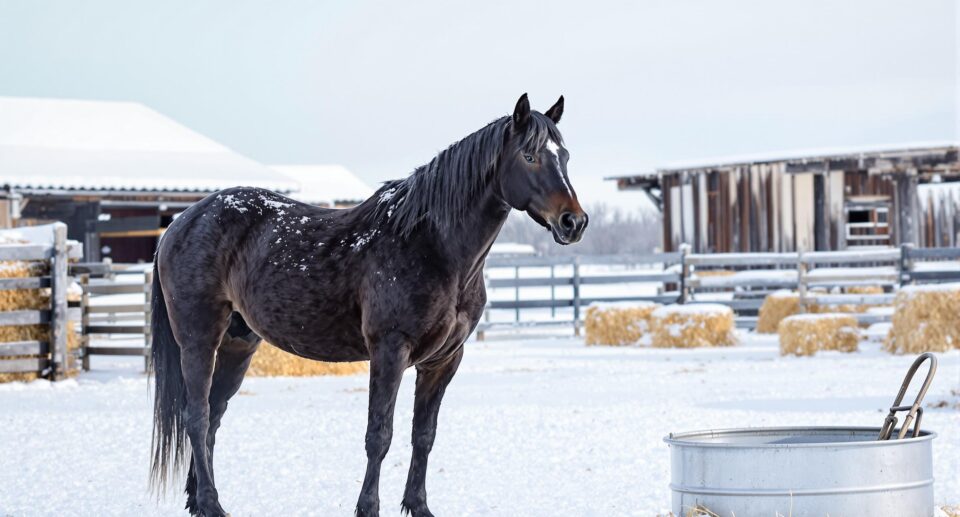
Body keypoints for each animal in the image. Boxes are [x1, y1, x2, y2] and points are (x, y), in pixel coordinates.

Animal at [151, 93, 588, 516]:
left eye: (565, 156)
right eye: (529, 155)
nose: (574, 222)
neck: (433, 245)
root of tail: (181, 222)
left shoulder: (444, 360)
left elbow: (423, 435)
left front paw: (419, 506)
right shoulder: (389, 350)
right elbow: (380, 435)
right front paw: (368, 507)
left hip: (238, 344)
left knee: (212, 416)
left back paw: (199, 500)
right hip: (199, 340)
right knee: (196, 416)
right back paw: (212, 504)